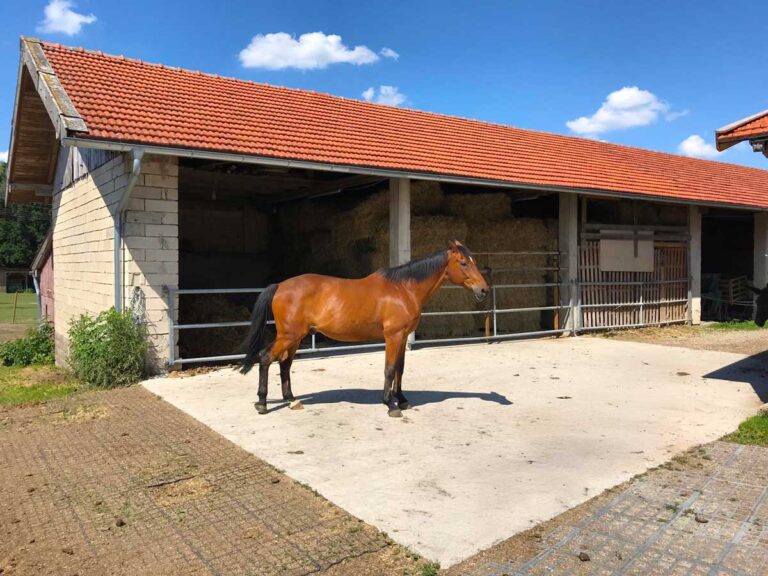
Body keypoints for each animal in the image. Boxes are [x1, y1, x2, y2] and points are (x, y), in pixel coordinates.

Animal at [239, 240, 490, 417]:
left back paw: (292, 400)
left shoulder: (403, 337)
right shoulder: (393, 336)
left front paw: (402, 400)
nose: (484, 290)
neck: (403, 289)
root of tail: (280, 286)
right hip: (288, 336)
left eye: (474, 262)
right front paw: (390, 405)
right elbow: (390, 369)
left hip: (295, 337)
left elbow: (400, 369)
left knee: (284, 364)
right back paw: (262, 403)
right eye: (464, 263)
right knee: (265, 358)